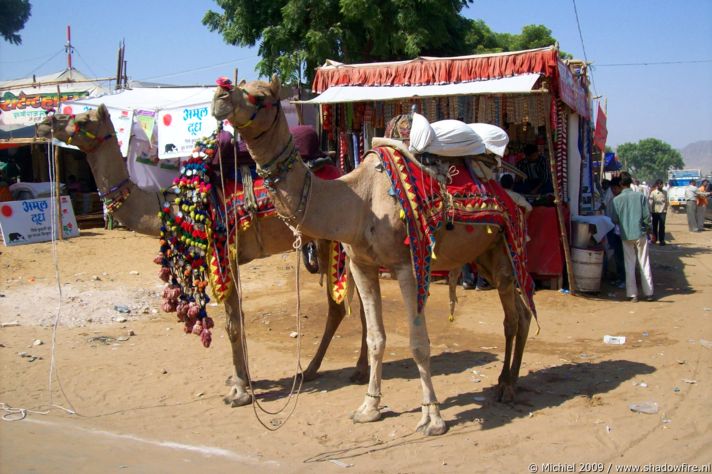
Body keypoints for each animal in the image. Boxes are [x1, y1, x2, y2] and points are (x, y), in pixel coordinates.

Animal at [34, 104, 372, 408]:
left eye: (83, 119)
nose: (45, 121)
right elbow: (235, 322)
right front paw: (242, 380)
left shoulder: (223, 255)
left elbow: (232, 324)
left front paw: (239, 392)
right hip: (326, 242)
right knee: (341, 307)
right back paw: (314, 369)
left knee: (352, 305)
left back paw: (353, 370)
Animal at [214, 76, 536, 436]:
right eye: (238, 85)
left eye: (260, 96)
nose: (220, 94)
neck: (360, 201)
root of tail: (511, 193)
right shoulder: (361, 265)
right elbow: (375, 338)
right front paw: (369, 407)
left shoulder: (408, 265)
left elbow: (418, 343)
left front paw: (433, 417)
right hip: (483, 255)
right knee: (518, 313)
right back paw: (505, 381)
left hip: (508, 248)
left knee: (515, 315)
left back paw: (508, 386)